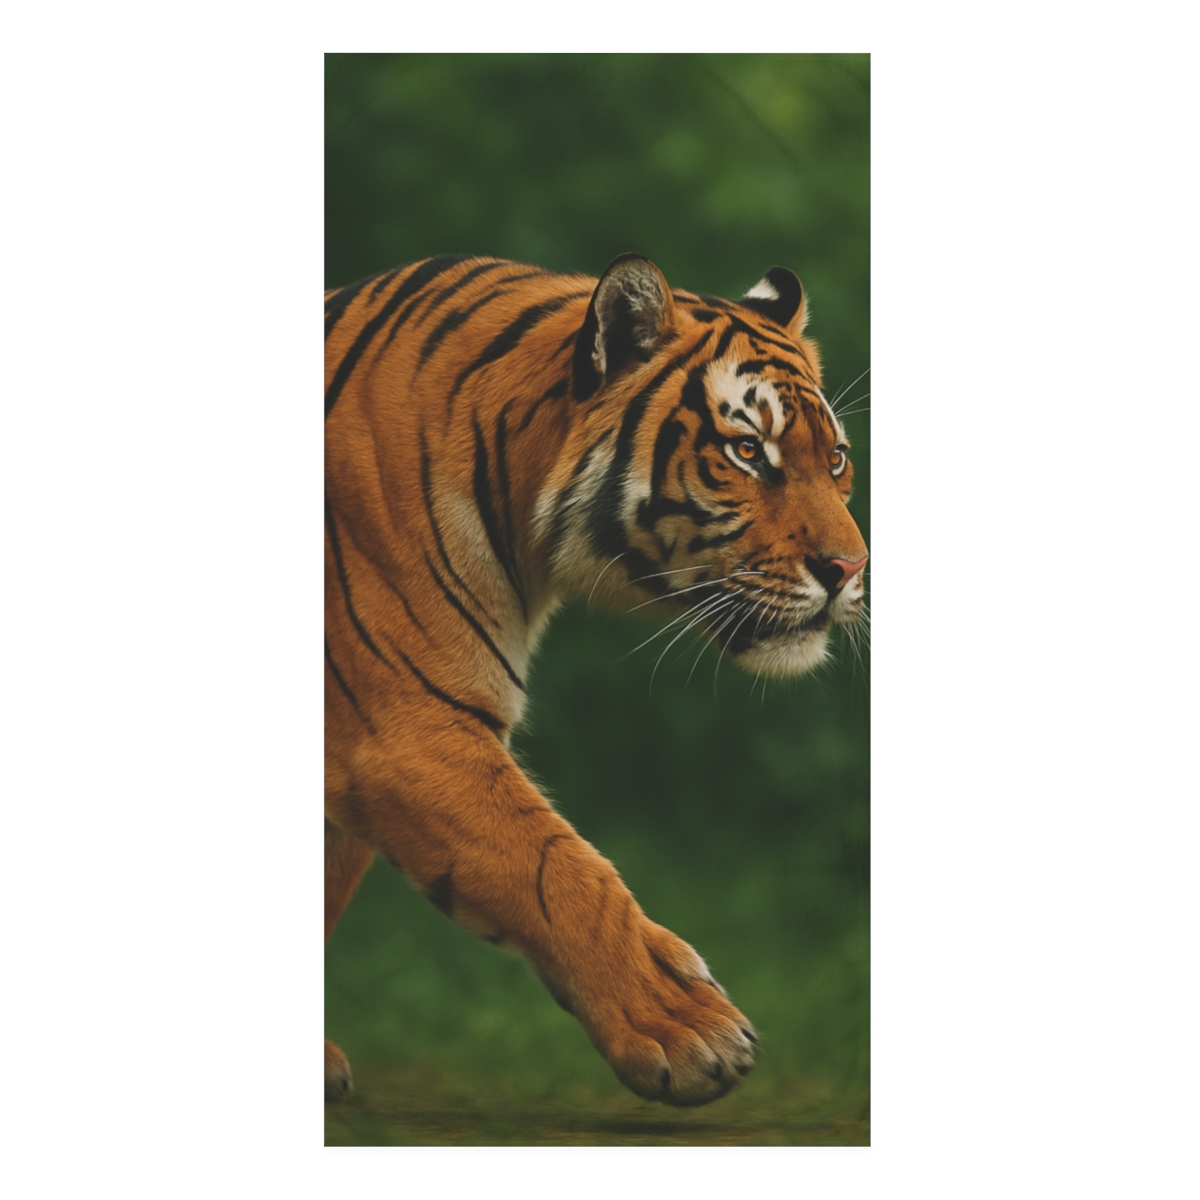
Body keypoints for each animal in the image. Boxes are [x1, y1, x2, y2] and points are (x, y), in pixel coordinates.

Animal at [324, 252, 867, 1108]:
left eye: (836, 459)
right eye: (749, 453)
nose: (852, 569)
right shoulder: (405, 728)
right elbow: (556, 866)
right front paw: (691, 1030)